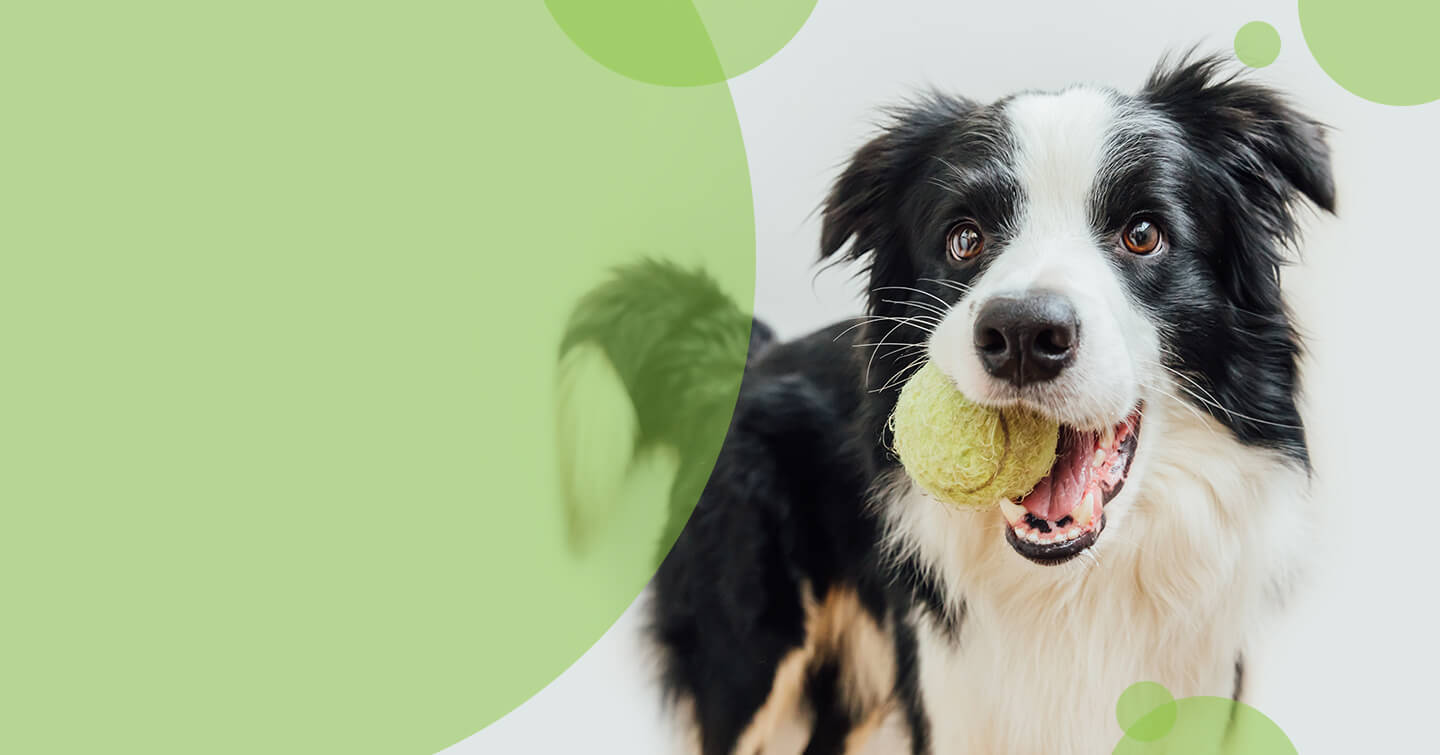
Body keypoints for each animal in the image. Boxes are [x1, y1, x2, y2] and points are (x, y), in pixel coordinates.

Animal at [558, 56, 1336, 755]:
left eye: (1143, 234)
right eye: (965, 239)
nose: (1021, 335)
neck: (1074, 593)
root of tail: (747, 357)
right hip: (748, 656)